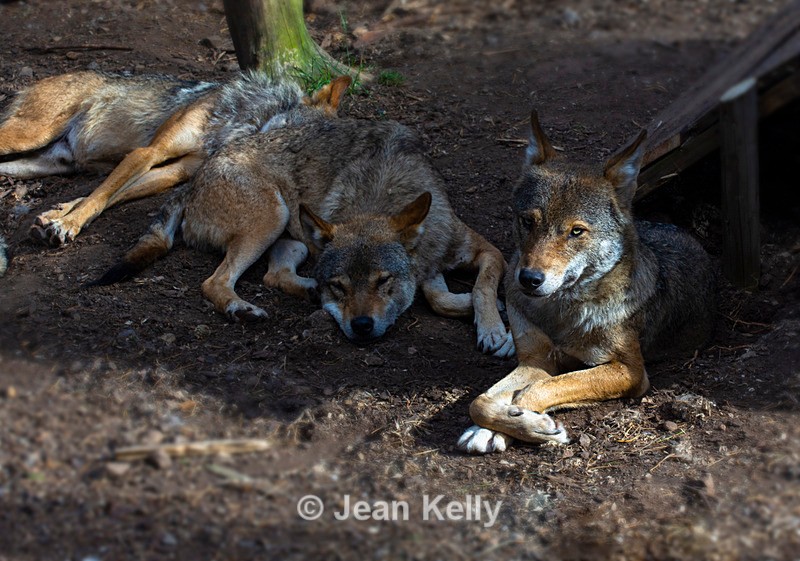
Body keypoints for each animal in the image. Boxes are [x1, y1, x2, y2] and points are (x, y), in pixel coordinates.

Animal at [0, 70, 350, 273]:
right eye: (305, 139)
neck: (239, 121)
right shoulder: (149, 152)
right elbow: (100, 195)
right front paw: (67, 224)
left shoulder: (175, 172)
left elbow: (108, 195)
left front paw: (57, 215)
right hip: (26, 136)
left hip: (46, 163)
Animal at [94, 98, 515, 357]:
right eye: (340, 286)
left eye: (383, 281)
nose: (361, 325)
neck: (384, 191)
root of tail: (196, 177)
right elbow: (450, 294)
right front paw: (491, 321)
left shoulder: (486, 250)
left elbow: (469, 288)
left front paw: (491, 326)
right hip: (273, 217)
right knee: (216, 281)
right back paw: (244, 308)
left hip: (292, 237)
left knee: (274, 275)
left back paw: (307, 290)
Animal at [458, 111, 716, 453]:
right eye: (528, 221)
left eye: (576, 231)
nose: (529, 279)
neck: (561, 313)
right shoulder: (536, 359)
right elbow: (480, 402)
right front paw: (494, 425)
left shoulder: (629, 370)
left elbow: (538, 390)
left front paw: (526, 423)